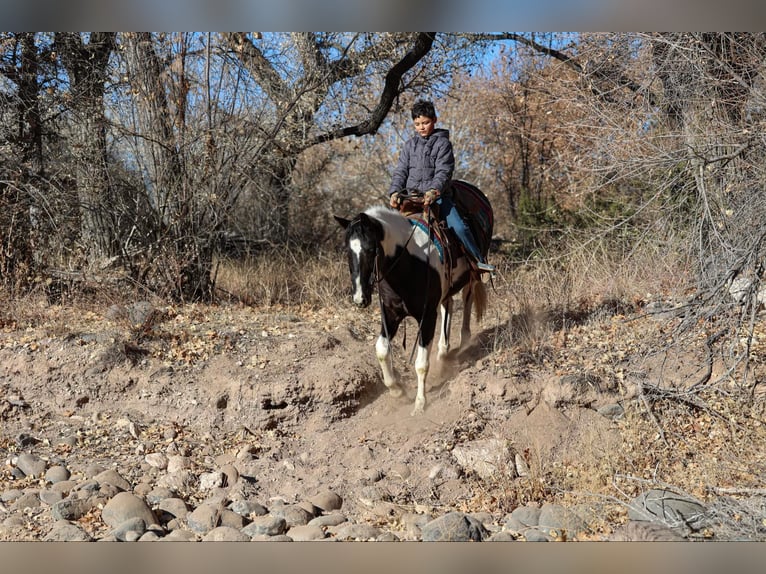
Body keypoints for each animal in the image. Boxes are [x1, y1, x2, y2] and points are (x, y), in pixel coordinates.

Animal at [334, 184, 491, 415]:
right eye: (348, 250)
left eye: (371, 249)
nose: (360, 298)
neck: (408, 263)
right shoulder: (391, 313)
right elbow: (381, 350)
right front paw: (396, 390)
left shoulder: (426, 316)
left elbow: (421, 364)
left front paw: (420, 403)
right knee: (448, 304)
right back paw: (443, 352)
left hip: (472, 274)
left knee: (466, 299)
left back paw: (463, 340)